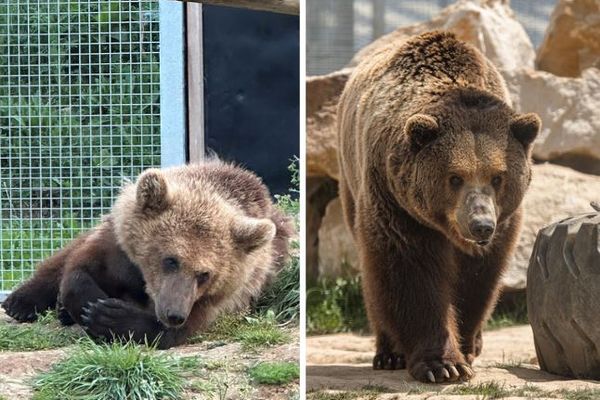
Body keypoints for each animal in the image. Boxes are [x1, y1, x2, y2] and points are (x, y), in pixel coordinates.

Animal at [2, 159, 292, 346]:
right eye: (171, 260)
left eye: (205, 274)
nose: (174, 313)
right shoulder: (118, 248)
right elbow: (78, 270)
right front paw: (89, 305)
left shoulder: (220, 298)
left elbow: (176, 331)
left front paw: (109, 316)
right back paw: (22, 303)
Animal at [338, 30, 544, 382]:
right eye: (455, 177)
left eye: (498, 177)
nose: (480, 225)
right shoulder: (396, 204)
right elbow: (410, 272)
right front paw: (443, 365)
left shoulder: (504, 223)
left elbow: (477, 279)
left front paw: (466, 347)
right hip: (350, 176)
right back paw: (389, 353)